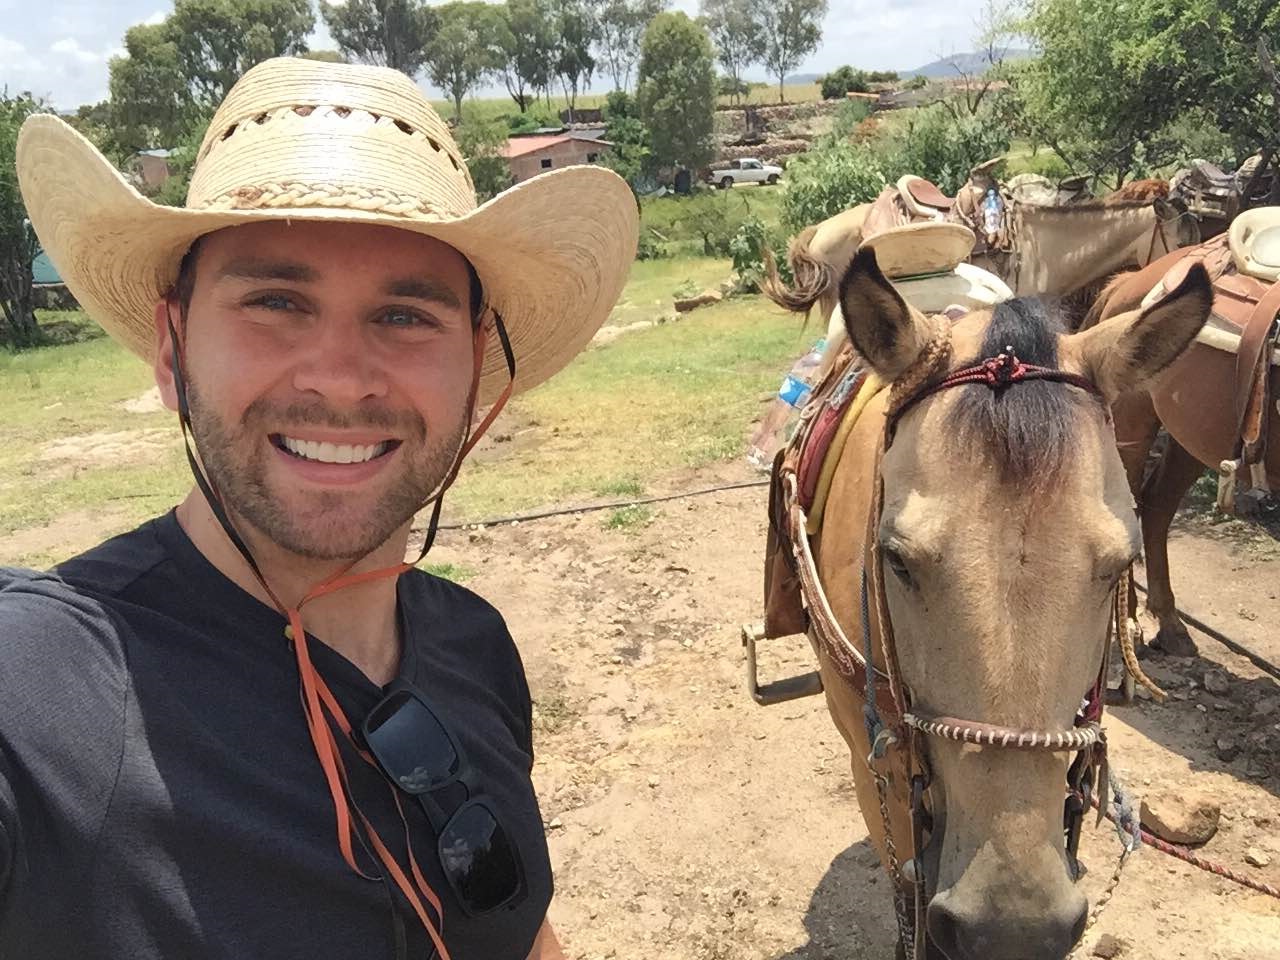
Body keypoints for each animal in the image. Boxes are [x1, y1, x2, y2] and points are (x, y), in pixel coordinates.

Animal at [1080, 252, 1280, 660]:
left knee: (1157, 505)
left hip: (1192, 437)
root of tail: (1128, 280)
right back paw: (1129, 623)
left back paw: (1170, 625)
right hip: (1132, 424)